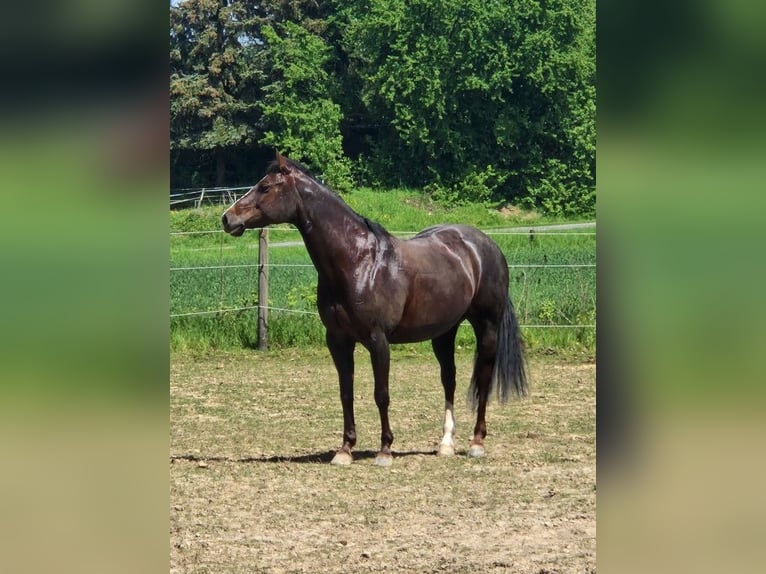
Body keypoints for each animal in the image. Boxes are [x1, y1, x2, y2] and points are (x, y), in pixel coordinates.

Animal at [222, 153, 528, 468]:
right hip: (444, 332)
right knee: (449, 380)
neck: (359, 262)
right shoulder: (338, 340)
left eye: (265, 187)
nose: (227, 218)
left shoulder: (378, 340)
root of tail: (486, 245)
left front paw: (385, 450)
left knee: (484, 378)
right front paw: (345, 449)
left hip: (487, 326)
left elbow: (381, 394)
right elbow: (346, 393)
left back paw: (476, 443)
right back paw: (446, 444)